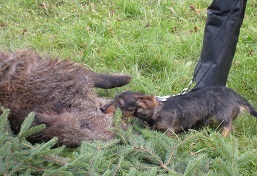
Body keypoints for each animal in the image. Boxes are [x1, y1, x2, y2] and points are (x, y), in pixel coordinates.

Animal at [101, 86, 256, 137]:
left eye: (119, 103)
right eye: (114, 98)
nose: (102, 108)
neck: (156, 111)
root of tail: (236, 96)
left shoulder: (169, 130)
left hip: (222, 116)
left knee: (228, 127)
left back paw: (220, 137)